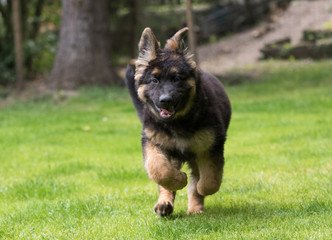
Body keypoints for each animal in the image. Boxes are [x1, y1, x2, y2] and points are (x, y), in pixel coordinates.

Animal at [124, 27, 231, 217]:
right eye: (154, 80)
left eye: (176, 78)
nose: (165, 100)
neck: (176, 123)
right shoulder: (152, 142)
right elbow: (158, 170)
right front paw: (179, 180)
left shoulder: (210, 146)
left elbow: (210, 179)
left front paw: (201, 188)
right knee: (165, 181)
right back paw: (164, 203)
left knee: (198, 177)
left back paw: (195, 208)